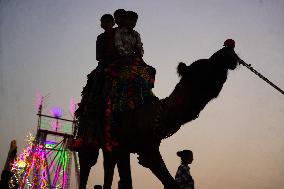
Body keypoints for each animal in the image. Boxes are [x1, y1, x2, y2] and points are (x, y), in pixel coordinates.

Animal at [77, 40, 240, 189]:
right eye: (205, 65)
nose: (228, 49)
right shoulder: (132, 147)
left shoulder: (144, 147)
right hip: (87, 132)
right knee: (87, 161)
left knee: (108, 165)